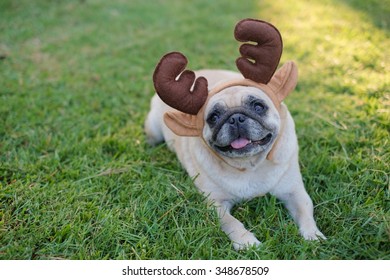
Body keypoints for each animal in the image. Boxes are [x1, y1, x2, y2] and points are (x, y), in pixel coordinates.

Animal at [145, 20, 324, 252]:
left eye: (258, 106)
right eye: (213, 117)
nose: (236, 118)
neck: (250, 166)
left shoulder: (294, 191)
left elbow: (306, 209)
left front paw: (313, 235)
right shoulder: (216, 203)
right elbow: (231, 222)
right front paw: (247, 242)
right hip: (153, 128)